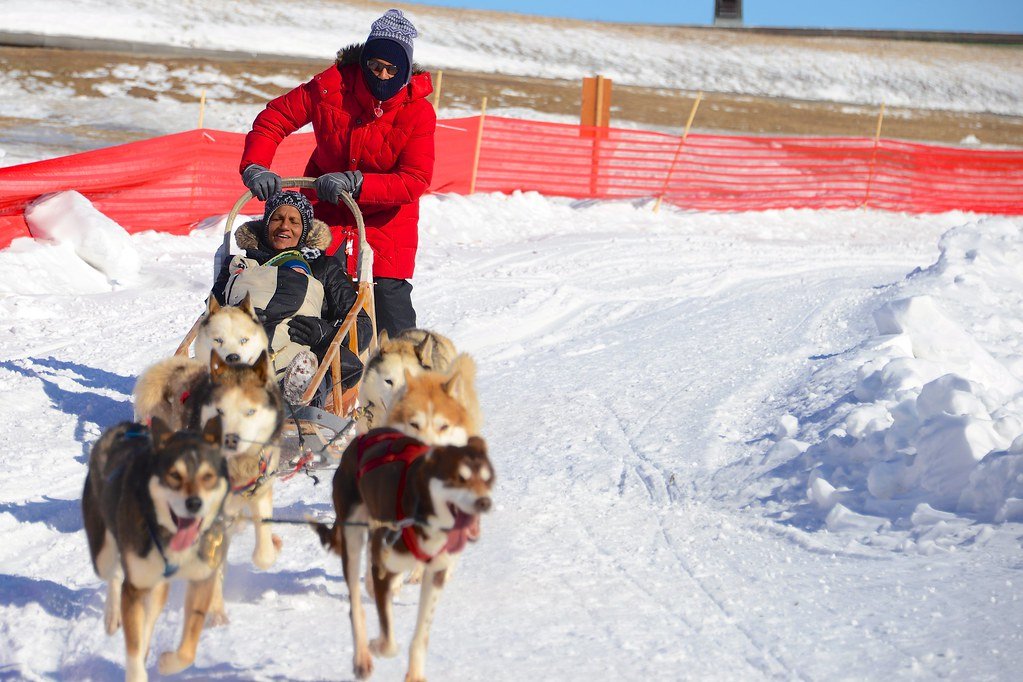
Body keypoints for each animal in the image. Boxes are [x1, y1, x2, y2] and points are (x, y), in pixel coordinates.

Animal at [81, 417, 230, 682]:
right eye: (174, 475)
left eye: (208, 476)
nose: (194, 503)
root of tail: (125, 427)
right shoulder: (135, 589)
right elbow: (133, 647)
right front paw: (137, 671)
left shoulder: (202, 578)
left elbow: (188, 649)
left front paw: (168, 663)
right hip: (104, 555)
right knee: (113, 574)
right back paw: (112, 615)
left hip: (157, 585)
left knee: (149, 619)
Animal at [310, 431, 495, 682]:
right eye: (459, 478)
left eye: (488, 479)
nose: (484, 502)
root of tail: (361, 439)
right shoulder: (382, 571)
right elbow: (389, 643)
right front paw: (377, 646)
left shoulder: (435, 574)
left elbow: (421, 636)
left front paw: (415, 674)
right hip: (353, 537)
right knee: (356, 605)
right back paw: (362, 658)